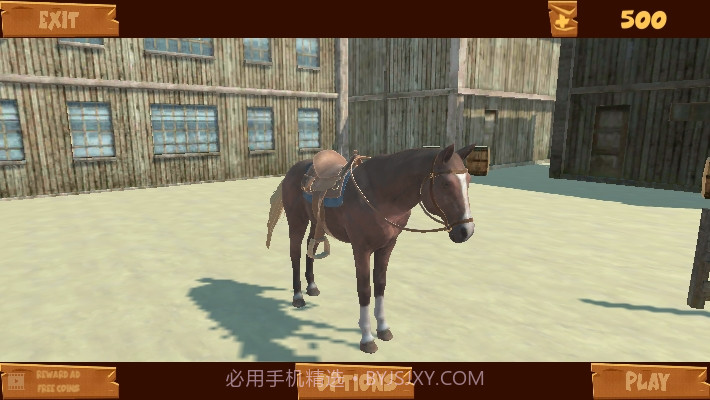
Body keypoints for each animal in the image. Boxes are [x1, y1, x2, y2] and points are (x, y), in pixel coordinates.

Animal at [266, 144, 476, 353]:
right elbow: (364, 289)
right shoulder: (361, 249)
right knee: (295, 254)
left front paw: (383, 329)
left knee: (311, 248)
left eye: (468, 180)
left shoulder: (387, 246)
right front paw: (367, 339)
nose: (466, 231)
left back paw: (312, 287)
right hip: (297, 221)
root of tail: (293, 170)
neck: (380, 195)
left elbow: (380, 284)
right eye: (446, 184)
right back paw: (298, 297)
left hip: (317, 222)